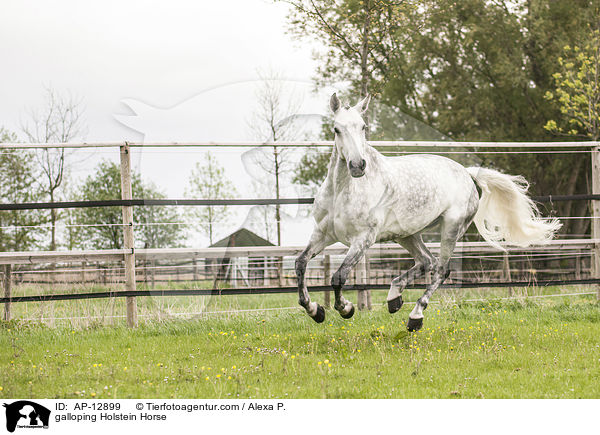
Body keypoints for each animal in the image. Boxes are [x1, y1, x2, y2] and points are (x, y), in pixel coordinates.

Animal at [296, 93, 564, 332]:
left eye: (363, 127)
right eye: (336, 129)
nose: (358, 166)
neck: (343, 191)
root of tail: (466, 172)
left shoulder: (363, 240)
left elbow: (338, 277)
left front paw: (346, 309)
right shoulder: (322, 234)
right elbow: (301, 263)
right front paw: (315, 311)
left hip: (451, 228)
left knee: (441, 269)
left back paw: (415, 317)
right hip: (406, 234)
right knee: (427, 261)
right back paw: (394, 299)